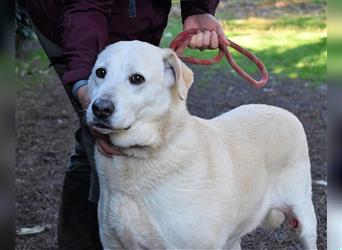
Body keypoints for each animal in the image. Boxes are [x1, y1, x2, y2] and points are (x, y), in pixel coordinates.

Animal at [86, 41, 318, 250]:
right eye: (100, 72)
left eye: (137, 78)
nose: (100, 108)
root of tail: (282, 110)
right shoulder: (113, 244)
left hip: (305, 220)